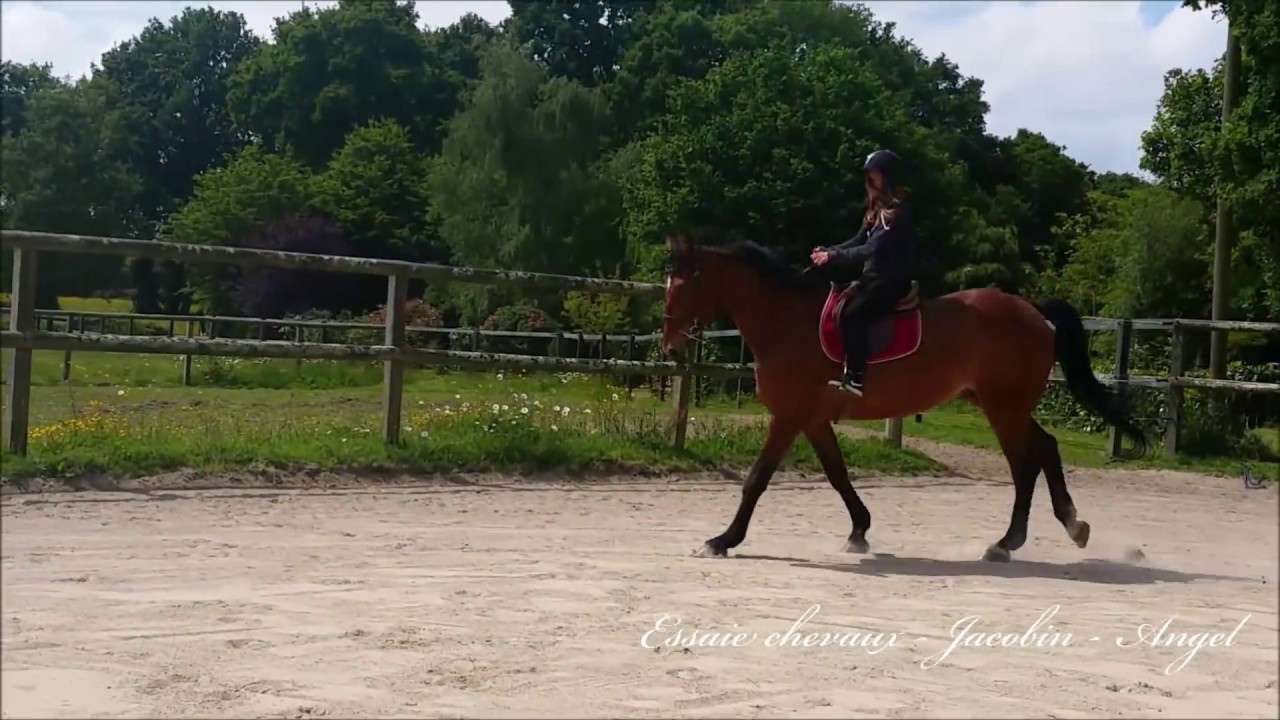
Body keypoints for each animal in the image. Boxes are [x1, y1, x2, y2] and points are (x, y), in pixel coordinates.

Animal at [660, 234, 1150, 562]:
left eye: (687, 283)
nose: (670, 346)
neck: (787, 322)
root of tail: (1031, 309)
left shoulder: (789, 417)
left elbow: (757, 480)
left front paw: (722, 541)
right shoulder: (813, 420)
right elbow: (837, 475)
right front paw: (859, 531)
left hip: (1003, 408)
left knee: (1025, 465)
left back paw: (1010, 541)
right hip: (1001, 404)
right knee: (1044, 449)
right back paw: (1067, 527)